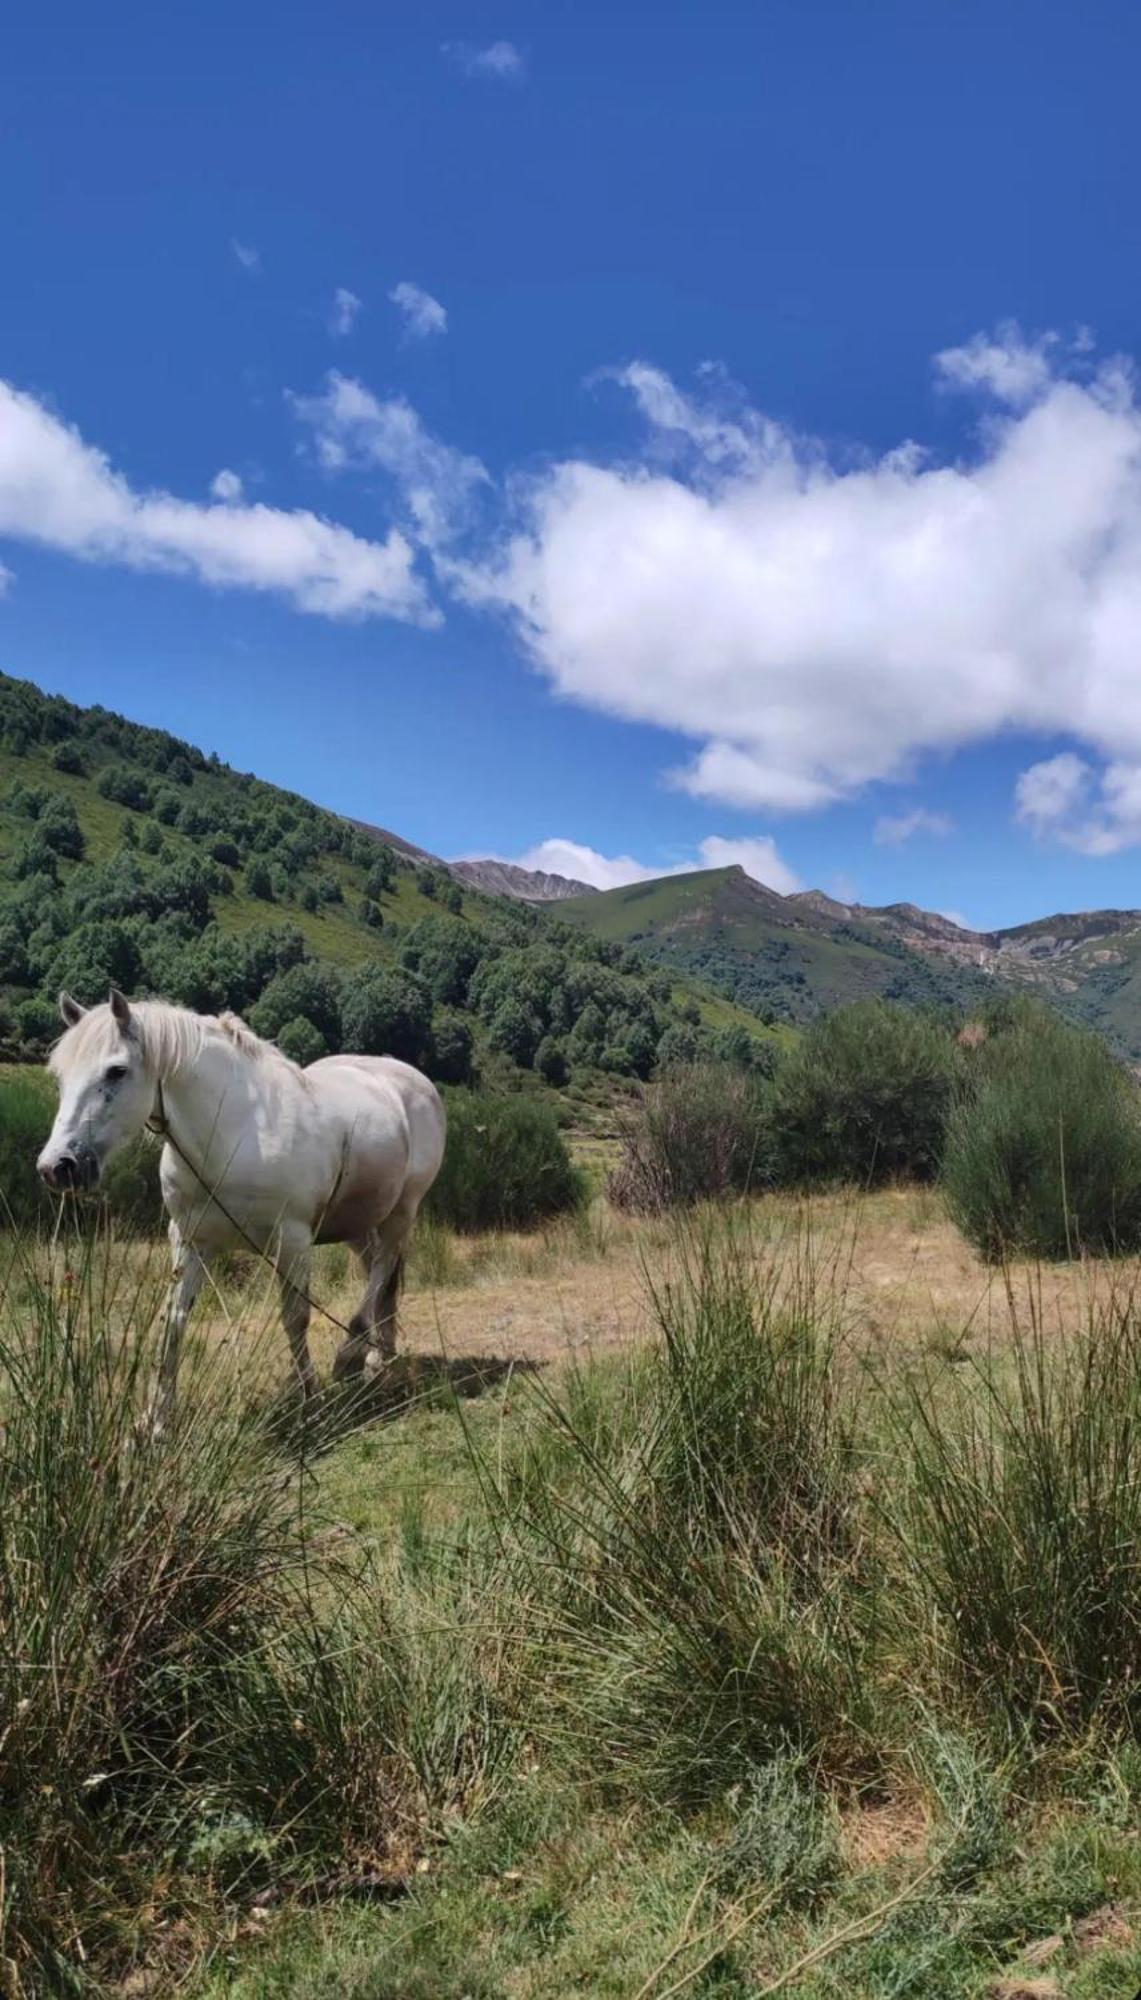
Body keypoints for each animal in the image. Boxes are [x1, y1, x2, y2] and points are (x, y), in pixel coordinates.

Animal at [36, 988, 444, 1432]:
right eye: (59, 1076)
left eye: (116, 1071)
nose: (57, 1166)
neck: (235, 1133)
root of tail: (412, 1080)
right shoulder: (189, 1239)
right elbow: (172, 1319)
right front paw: (156, 1420)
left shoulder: (292, 1240)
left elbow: (295, 1317)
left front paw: (309, 1400)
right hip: (356, 1223)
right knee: (379, 1274)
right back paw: (378, 1355)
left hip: (401, 1211)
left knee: (383, 1269)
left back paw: (353, 1354)